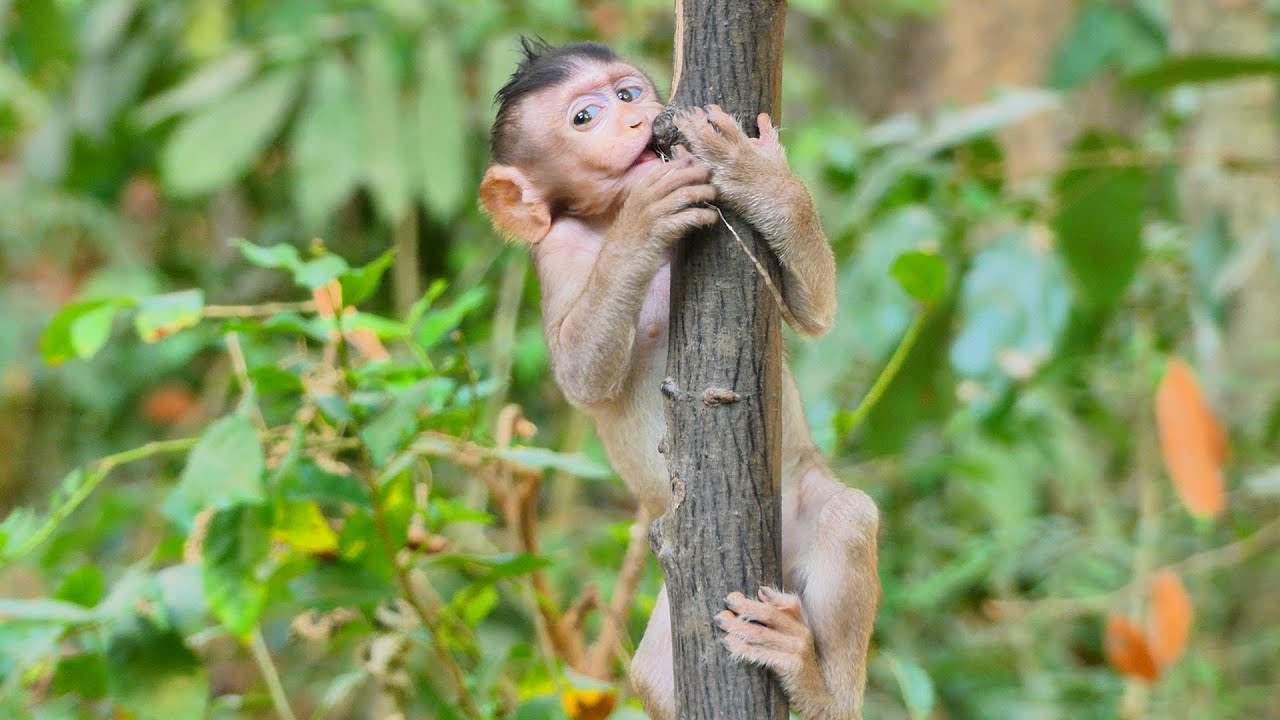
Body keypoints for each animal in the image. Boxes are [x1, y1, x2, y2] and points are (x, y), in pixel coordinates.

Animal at [479, 38, 879, 720]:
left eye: (627, 93)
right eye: (584, 117)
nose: (638, 120)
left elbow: (816, 311)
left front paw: (758, 175)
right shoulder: (555, 254)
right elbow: (582, 379)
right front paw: (644, 222)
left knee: (848, 515)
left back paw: (815, 684)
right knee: (652, 677)